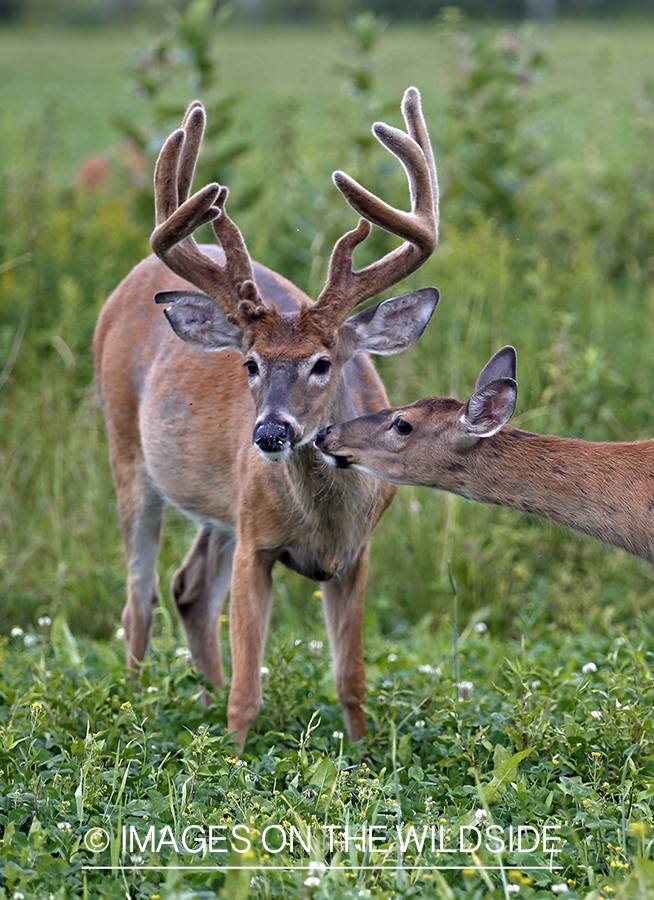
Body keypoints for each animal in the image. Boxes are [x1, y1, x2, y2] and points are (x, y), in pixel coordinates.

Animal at [93, 88, 440, 748]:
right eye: (250, 364)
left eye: (323, 363)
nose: (270, 432)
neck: (324, 520)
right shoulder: (256, 542)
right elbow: (247, 690)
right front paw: (231, 758)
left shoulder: (356, 555)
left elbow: (351, 680)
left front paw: (364, 756)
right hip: (127, 450)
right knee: (137, 598)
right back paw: (134, 709)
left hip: (221, 502)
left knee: (189, 589)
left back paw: (197, 704)